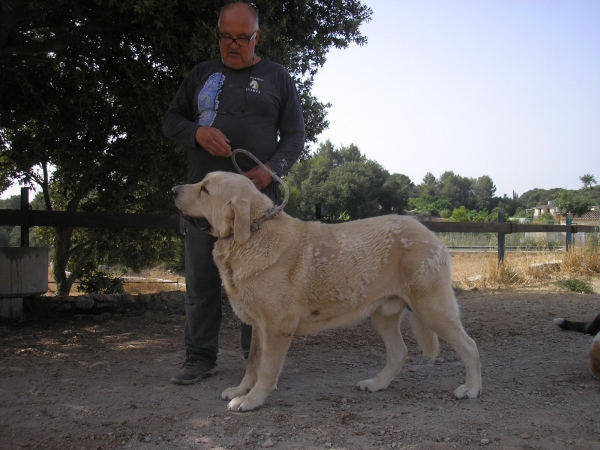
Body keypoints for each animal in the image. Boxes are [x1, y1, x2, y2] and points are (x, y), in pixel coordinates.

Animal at [171, 172, 480, 412]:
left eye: (205, 189)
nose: (172, 190)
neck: (252, 234)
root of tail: (431, 234)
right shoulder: (259, 328)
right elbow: (252, 364)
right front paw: (240, 391)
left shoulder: (277, 327)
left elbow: (266, 369)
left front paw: (252, 400)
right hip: (383, 315)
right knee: (399, 352)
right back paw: (377, 384)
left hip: (433, 308)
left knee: (469, 346)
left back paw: (471, 389)